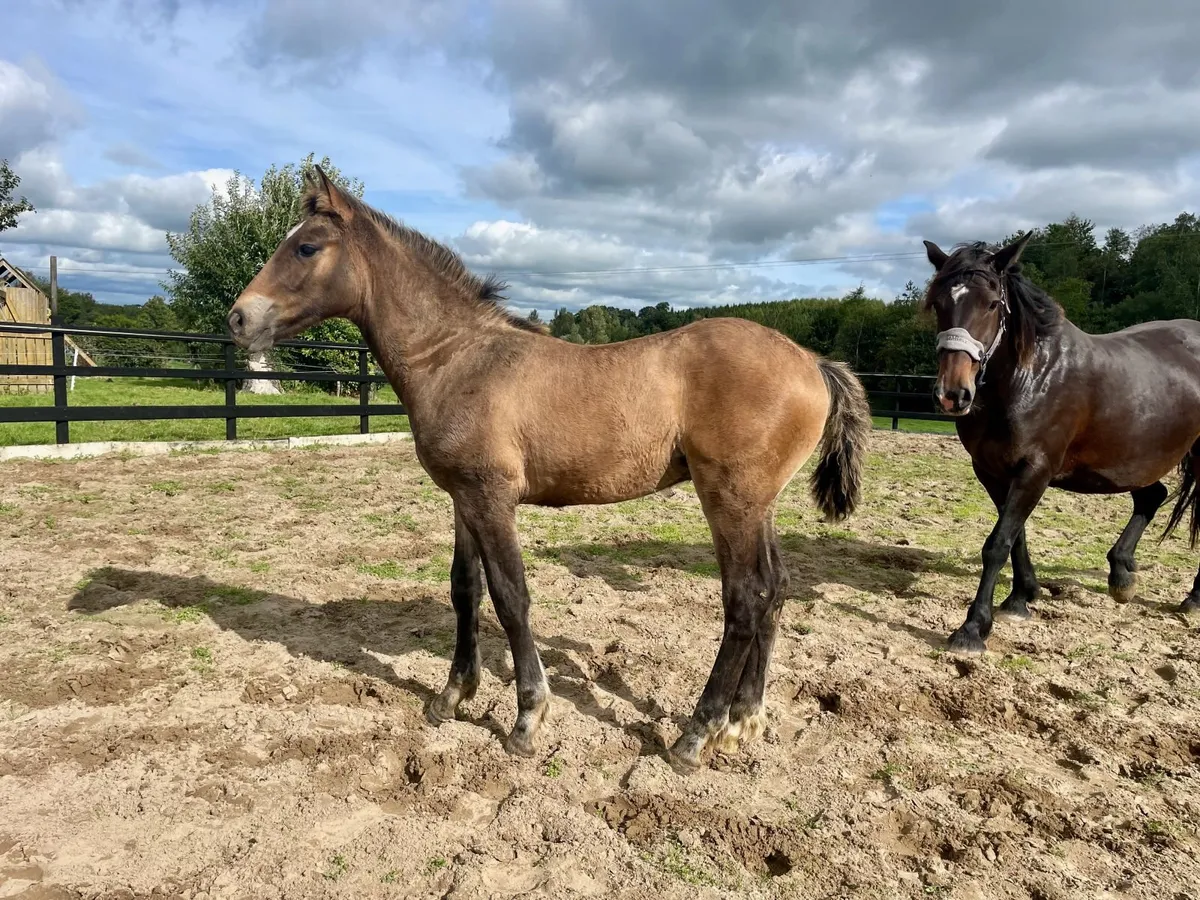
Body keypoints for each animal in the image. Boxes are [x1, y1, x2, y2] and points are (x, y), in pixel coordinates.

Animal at [225, 166, 873, 771]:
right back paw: (744, 721)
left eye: (307, 247)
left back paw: (695, 736)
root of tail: (812, 362)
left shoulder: (492, 498)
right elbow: (465, 589)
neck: (457, 358)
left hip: (729, 500)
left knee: (745, 597)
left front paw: (527, 719)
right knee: (776, 588)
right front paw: (451, 696)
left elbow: (512, 596)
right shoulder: (463, 497)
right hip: (759, 503)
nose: (238, 319)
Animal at [921, 232, 1200, 654]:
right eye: (939, 303)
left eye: (991, 304)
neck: (1027, 378)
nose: (953, 394)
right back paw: (1122, 575)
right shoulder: (992, 471)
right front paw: (1020, 598)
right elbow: (1015, 537)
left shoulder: (1035, 470)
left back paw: (1192, 598)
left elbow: (998, 542)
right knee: (1152, 495)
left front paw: (973, 628)